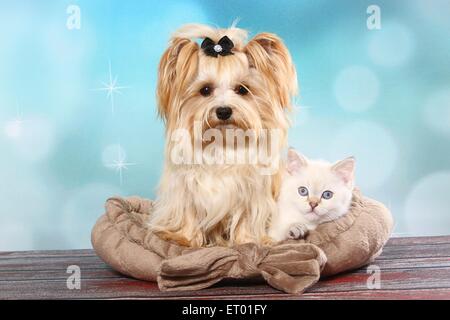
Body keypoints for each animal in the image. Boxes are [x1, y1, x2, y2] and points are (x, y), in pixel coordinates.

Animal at [148, 23, 298, 248]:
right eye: (205, 90)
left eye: (242, 89)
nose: (224, 111)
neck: (222, 143)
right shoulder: (186, 188)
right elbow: (189, 212)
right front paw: (186, 238)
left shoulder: (251, 191)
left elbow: (246, 216)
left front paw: (246, 240)